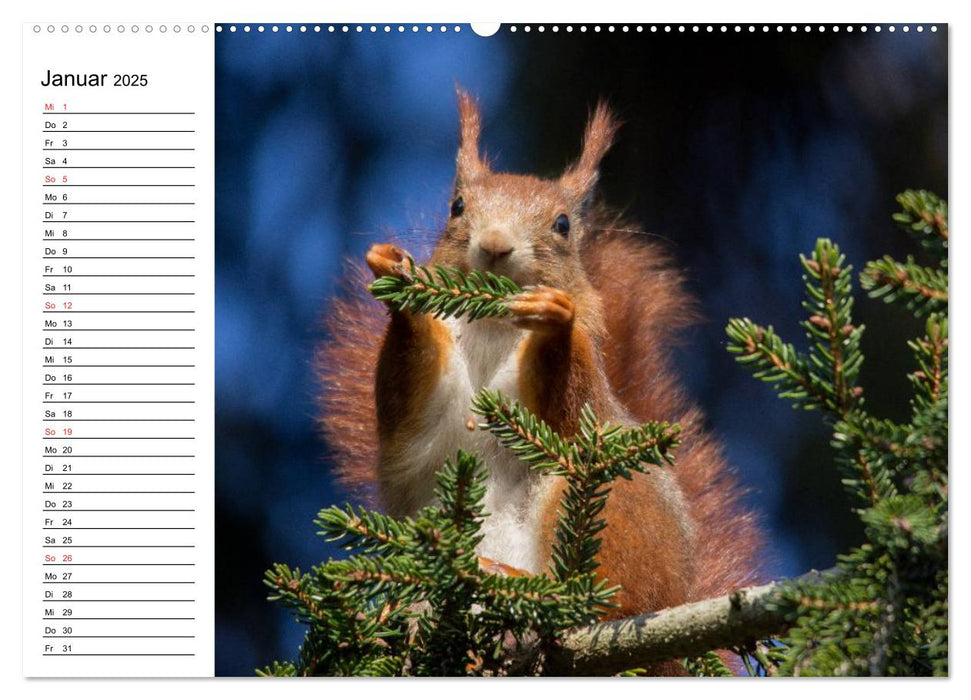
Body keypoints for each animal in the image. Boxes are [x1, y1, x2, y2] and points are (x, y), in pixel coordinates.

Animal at [316, 90, 764, 620]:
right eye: (457, 206)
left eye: (563, 224)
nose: (494, 244)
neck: (492, 327)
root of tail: (678, 594)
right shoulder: (427, 418)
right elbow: (408, 398)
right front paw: (396, 276)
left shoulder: (585, 393)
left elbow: (568, 405)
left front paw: (555, 317)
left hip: (608, 500)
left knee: (604, 600)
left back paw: (523, 585)